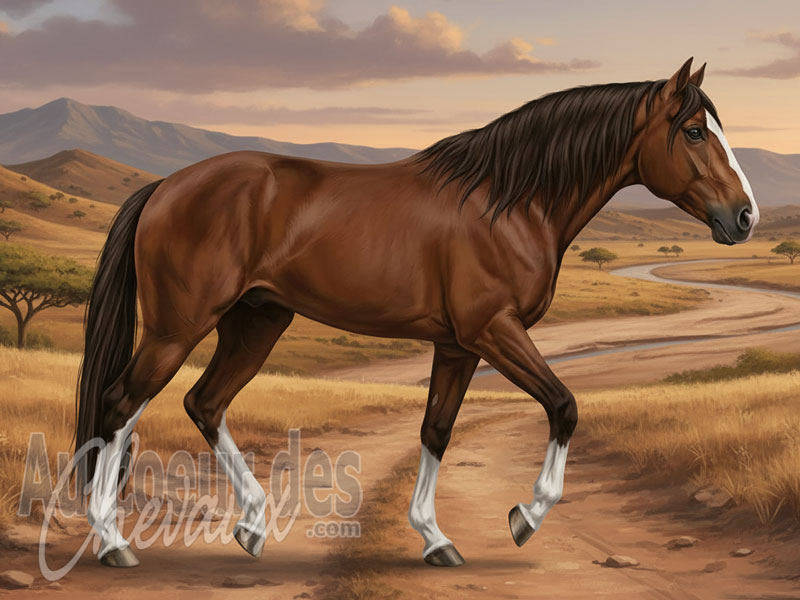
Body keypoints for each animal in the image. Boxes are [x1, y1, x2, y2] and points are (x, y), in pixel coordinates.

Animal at [75, 57, 758, 568]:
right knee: (120, 404)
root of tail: (164, 186)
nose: (745, 216)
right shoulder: (494, 331)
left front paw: (435, 539)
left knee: (204, 404)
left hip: (256, 323)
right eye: (694, 132)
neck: (508, 202)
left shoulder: (457, 345)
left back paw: (252, 526)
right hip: (178, 328)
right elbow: (564, 406)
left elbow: (436, 430)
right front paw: (524, 517)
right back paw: (113, 543)